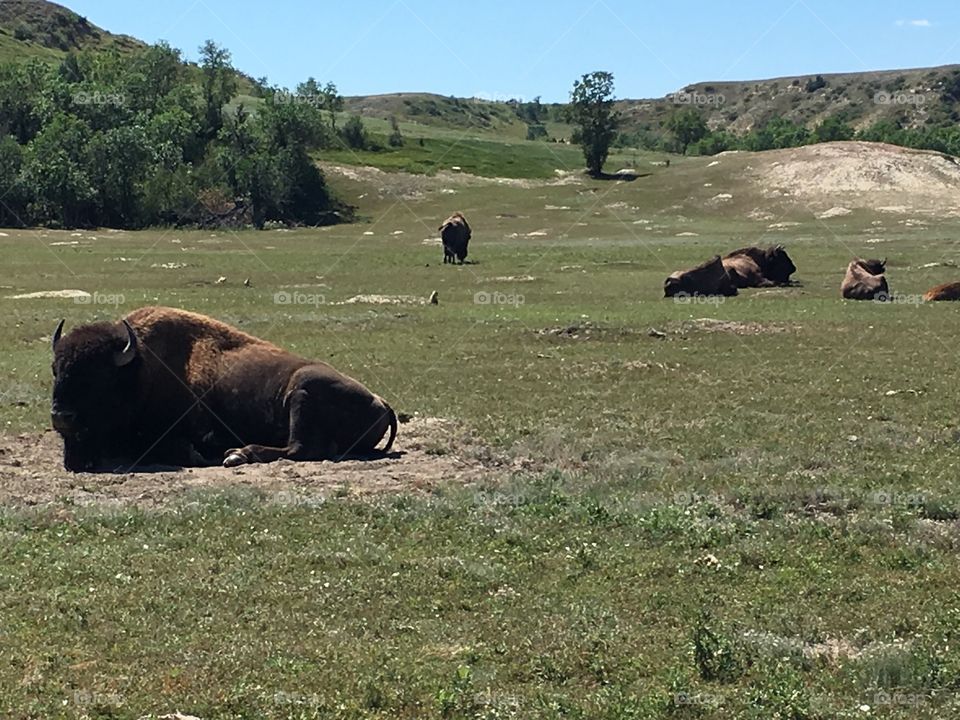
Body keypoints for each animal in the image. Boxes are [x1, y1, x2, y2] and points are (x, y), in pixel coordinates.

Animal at [50, 306, 397, 471]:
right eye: (56, 370)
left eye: (99, 377)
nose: (61, 417)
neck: (143, 369)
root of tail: (381, 403)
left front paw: (197, 454)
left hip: (303, 390)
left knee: (299, 449)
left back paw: (238, 455)